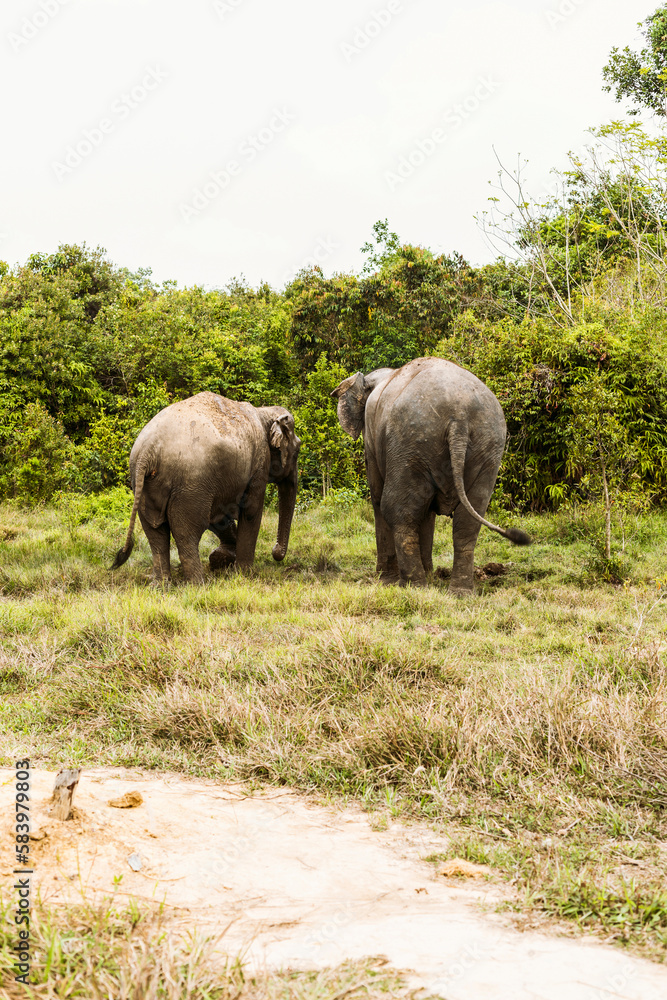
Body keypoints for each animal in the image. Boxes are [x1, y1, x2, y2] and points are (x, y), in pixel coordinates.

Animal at [112, 391, 301, 583]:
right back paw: (197, 584)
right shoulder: (259, 464)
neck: (263, 411)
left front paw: (221, 559)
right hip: (191, 484)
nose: (276, 552)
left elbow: (220, 515)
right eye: (298, 451)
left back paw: (161, 584)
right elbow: (251, 512)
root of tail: (147, 451)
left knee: (155, 532)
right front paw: (243, 574)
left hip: (143, 485)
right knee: (187, 533)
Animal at [331, 357, 530, 594]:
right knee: (468, 519)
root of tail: (459, 416)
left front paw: (385, 580)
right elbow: (427, 510)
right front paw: (429, 574)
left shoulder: (371, 440)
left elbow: (379, 499)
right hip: (487, 446)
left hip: (410, 441)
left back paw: (412, 586)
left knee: (396, 510)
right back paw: (459, 593)